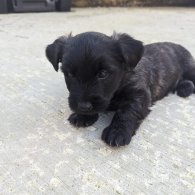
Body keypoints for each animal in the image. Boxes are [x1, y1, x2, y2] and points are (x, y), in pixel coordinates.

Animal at [45, 32, 195, 147]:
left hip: (190, 68)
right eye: (70, 74)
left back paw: (186, 87)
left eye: (103, 74)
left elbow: (126, 111)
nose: (83, 107)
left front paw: (117, 131)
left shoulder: (139, 94)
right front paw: (83, 115)